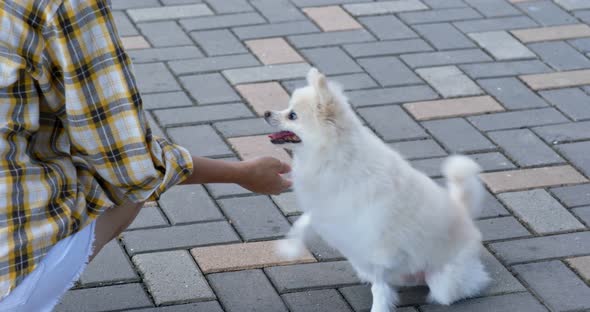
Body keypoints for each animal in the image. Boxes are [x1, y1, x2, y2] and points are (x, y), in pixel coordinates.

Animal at [266, 68, 492, 312]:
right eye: (287, 109)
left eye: (292, 115)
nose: (266, 112)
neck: (333, 158)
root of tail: (464, 214)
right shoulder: (327, 209)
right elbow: (302, 223)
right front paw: (290, 247)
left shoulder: (375, 240)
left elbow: (380, 285)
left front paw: (380, 306)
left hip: (444, 284)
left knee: (463, 287)